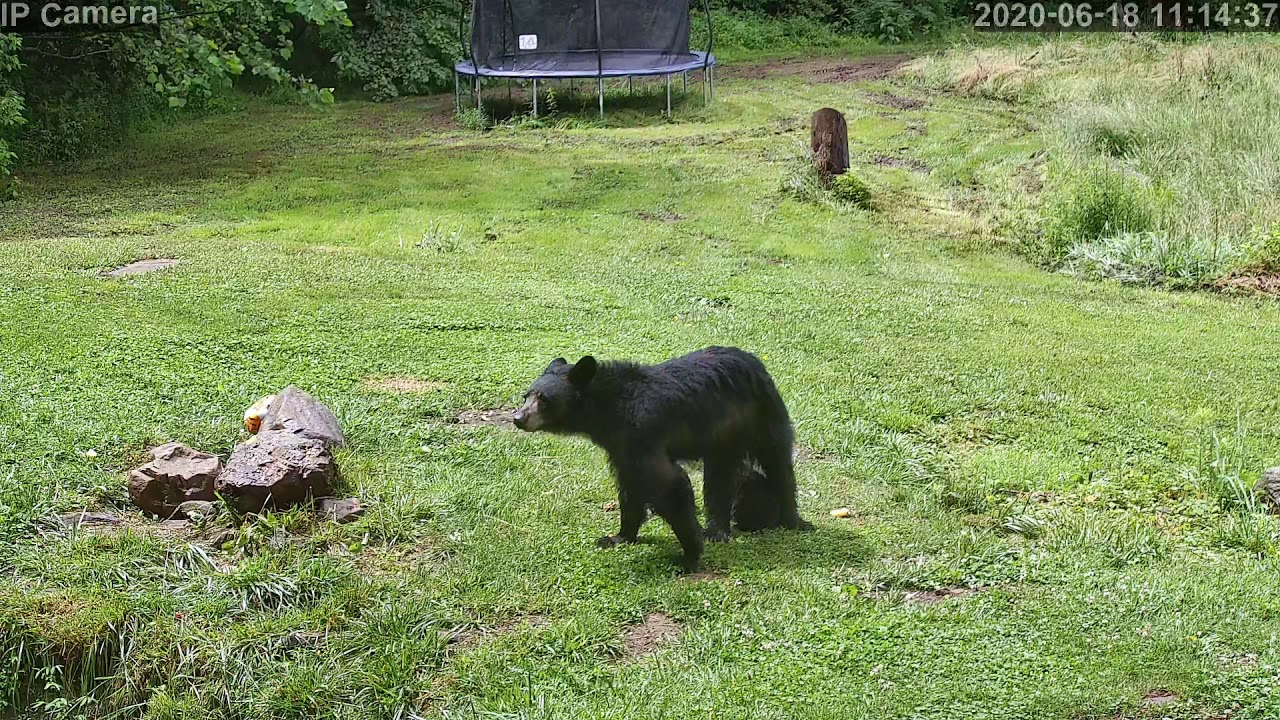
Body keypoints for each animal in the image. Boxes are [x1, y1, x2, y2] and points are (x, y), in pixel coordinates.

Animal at [513, 346, 812, 569]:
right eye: (526, 395)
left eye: (544, 399)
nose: (518, 418)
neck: (610, 410)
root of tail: (752, 358)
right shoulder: (621, 447)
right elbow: (629, 487)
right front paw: (618, 536)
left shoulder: (643, 433)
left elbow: (670, 483)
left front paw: (689, 553)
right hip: (723, 436)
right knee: (720, 478)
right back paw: (716, 530)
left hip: (762, 414)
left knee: (778, 463)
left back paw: (792, 520)